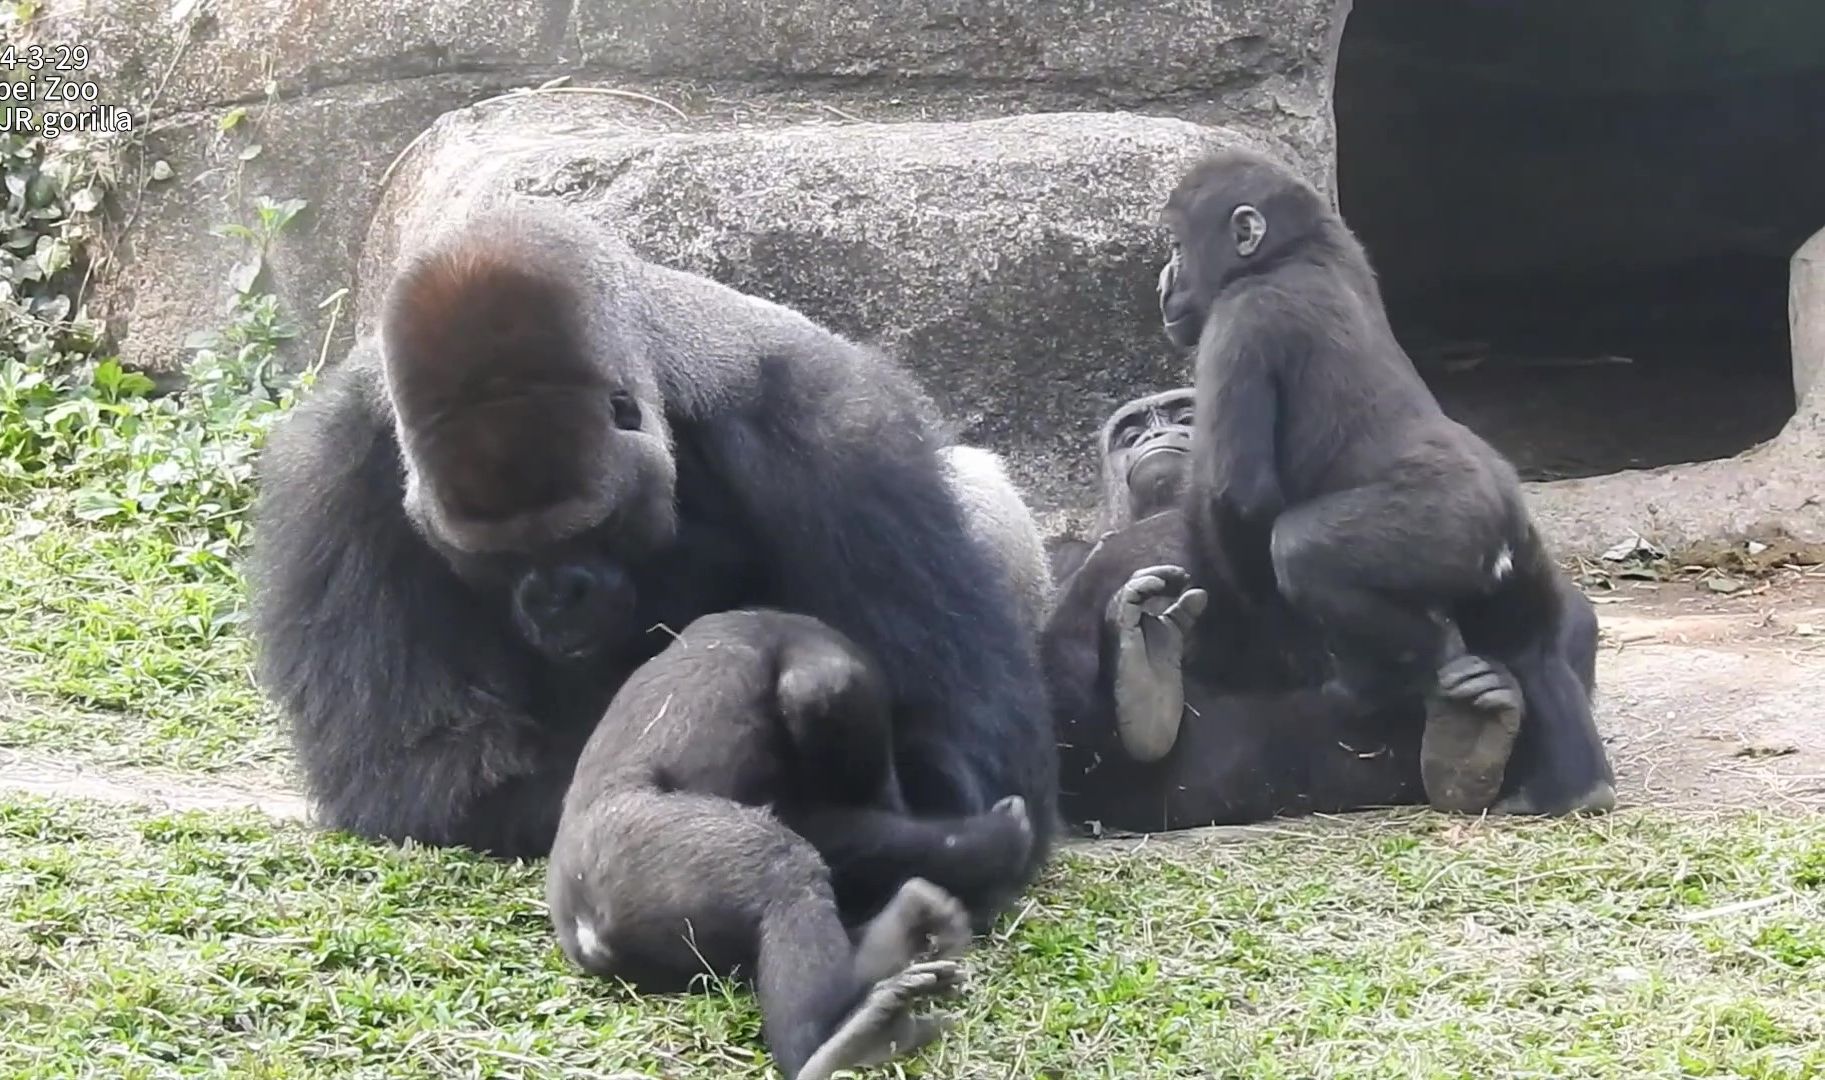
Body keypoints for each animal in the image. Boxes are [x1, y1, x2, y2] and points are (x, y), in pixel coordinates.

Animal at [250, 197, 1065, 923]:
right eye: (496, 555)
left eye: (585, 530)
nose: (556, 597)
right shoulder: (327, 478)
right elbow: (429, 767)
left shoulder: (846, 431)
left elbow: (953, 744)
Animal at [540, 612, 1036, 1072]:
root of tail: (584, 935)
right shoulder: (831, 688)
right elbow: (824, 702)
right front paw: (995, 842)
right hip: (633, 853)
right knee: (785, 871)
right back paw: (833, 1045)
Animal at [1153, 147, 1613, 813]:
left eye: (1178, 248)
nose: (1163, 282)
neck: (1293, 253)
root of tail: (1504, 511)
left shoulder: (1242, 320)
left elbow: (1238, 497)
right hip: (1520, 549)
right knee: (1533, 647)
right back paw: (1575, 784)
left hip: (1446, 525)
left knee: (1303, 552)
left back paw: (1406, 673)